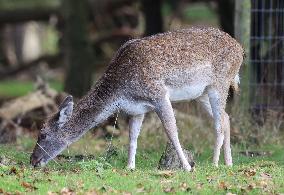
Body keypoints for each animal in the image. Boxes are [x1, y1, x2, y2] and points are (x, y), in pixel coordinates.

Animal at [30, 27, 244, 171]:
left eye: (43, 134)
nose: (32, 160)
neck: (120, 92)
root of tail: (241, 49)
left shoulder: (159, 94)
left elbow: (171, 131)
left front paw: (187, 167)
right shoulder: (136, 109)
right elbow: (132, 137)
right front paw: (130, 166)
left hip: (219, 83)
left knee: (218, 122)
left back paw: (215, 163)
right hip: (201, 94)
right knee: (226, 117)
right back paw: (229, 162)